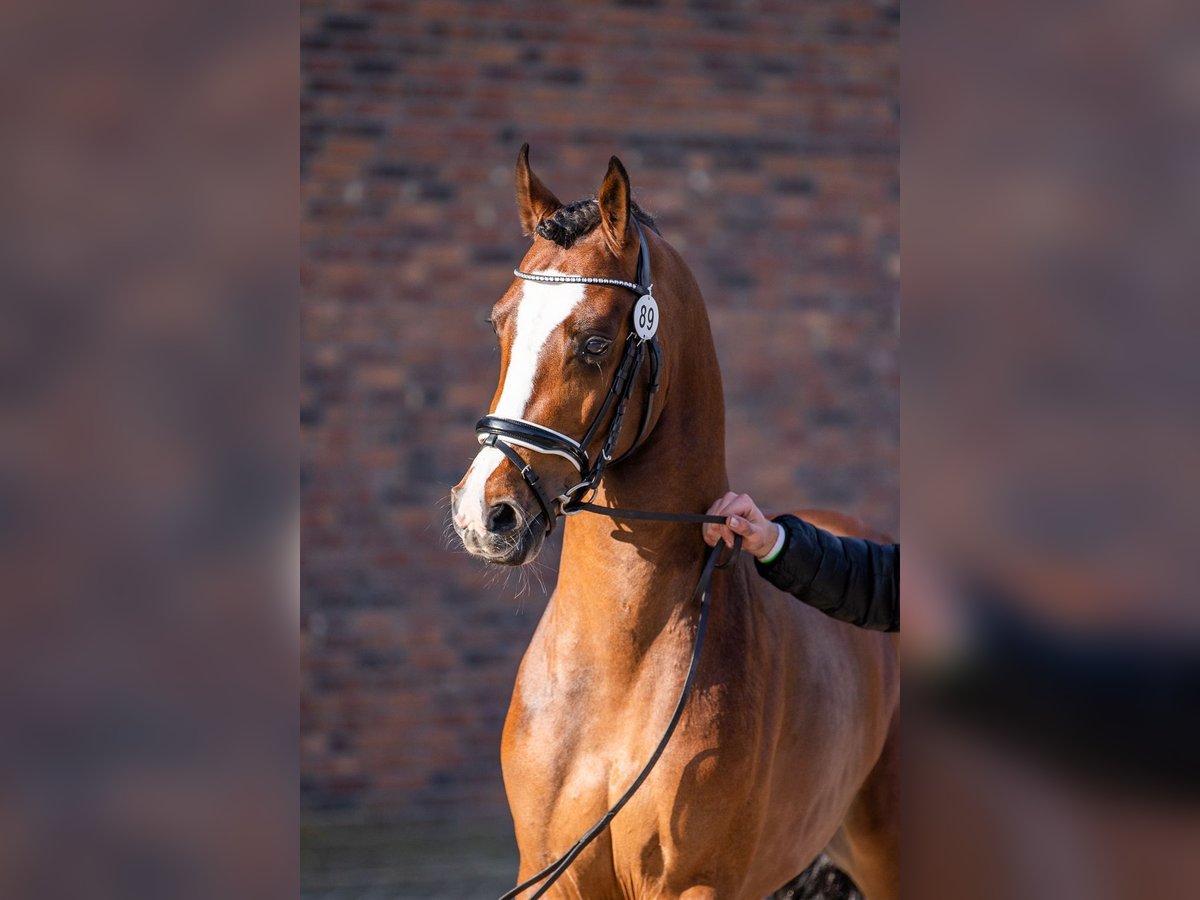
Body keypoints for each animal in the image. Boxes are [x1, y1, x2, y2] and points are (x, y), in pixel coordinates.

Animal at [451, 148, 902, 900]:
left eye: (596, 342)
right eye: (498, 323)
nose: (485, 515)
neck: (615, 670)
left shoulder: (695, 884)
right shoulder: (551, 874)